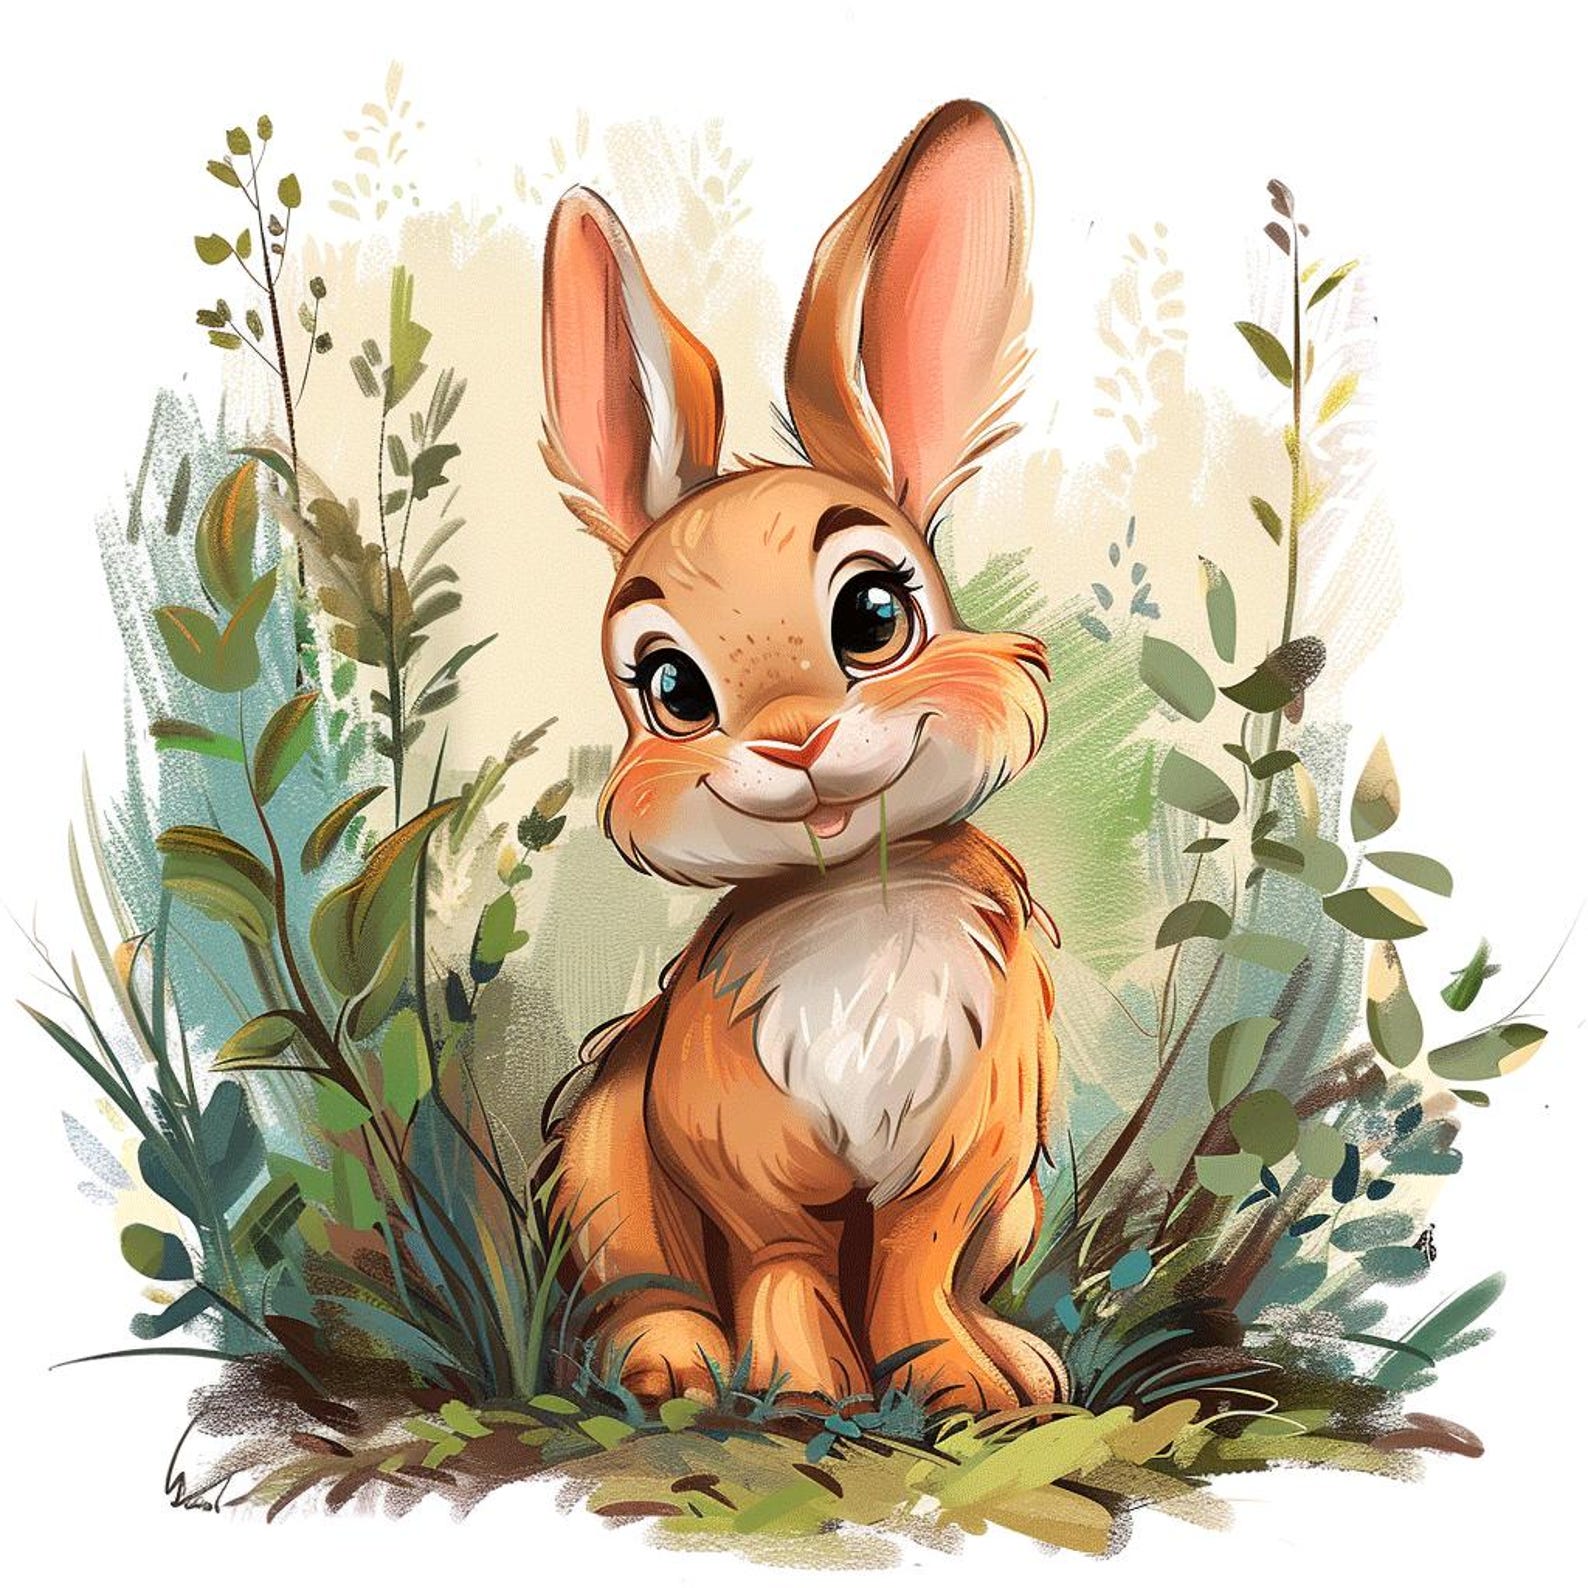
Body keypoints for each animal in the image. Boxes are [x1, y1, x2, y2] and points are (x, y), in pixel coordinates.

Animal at [540, 101, 1065, 1413]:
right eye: (671, 688)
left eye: (874, 614)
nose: (794, 740)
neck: (853, 898)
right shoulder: (735, 1148)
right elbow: (780, 1255)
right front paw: (801, 1392)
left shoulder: (964, 1148)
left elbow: (917, 1264)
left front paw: (955, 1387)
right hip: (602, 1160)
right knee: (646, 1282)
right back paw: (674, 1364)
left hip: (1020, 1208)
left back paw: (1021, 1358)